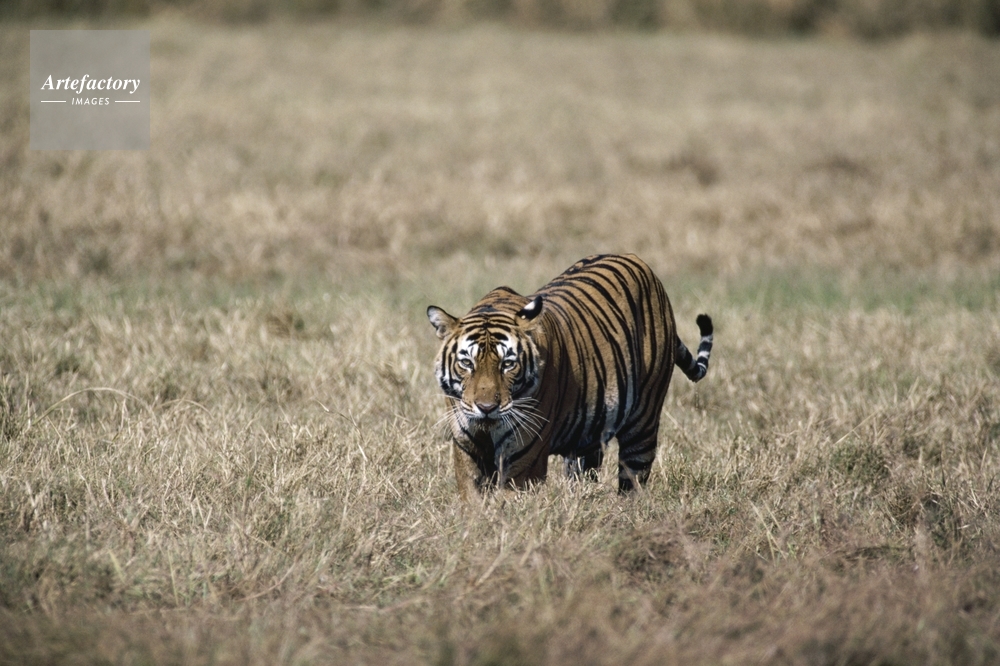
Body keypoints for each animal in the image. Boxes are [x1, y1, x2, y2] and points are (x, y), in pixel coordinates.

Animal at [426, 253, 713, 498]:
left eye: (508, 364)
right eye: (467, 363)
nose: (486, 408)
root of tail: (641, 263)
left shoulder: (524, 454)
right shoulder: (467, 447)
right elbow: (472, 499)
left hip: (643, 422)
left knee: (633, 481)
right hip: (589, 434)